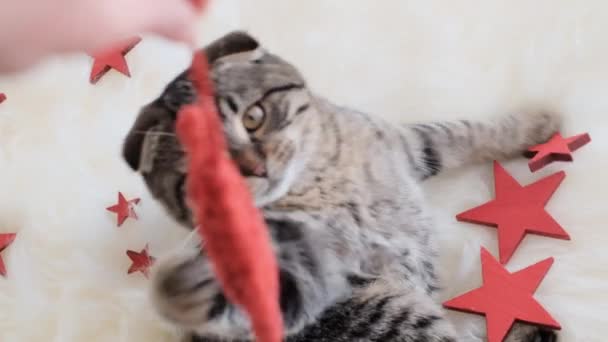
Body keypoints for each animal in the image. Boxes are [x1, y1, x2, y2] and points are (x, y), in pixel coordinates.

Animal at [121, 32, 560, 342]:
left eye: (253, 118)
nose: (256, 168)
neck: (324, 183)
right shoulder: (309, 262)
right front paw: (185, 291)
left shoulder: (407, 144)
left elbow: (464, 132)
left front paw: (540, 125)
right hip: (390, 313)